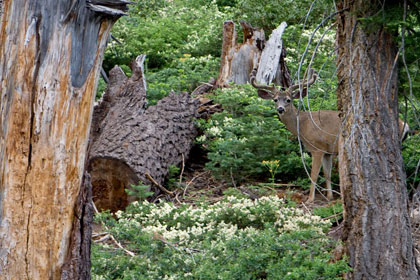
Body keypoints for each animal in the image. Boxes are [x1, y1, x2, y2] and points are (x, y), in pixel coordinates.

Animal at [251, 68, 408, 202]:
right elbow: (327, 173)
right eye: (275, 99)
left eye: (288, 100)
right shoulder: (328, 151)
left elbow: (314, 174)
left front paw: (310, 199)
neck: (303, 125)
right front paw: (330, 196)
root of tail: (404, 124)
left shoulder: (317, 148)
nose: (280, 109)